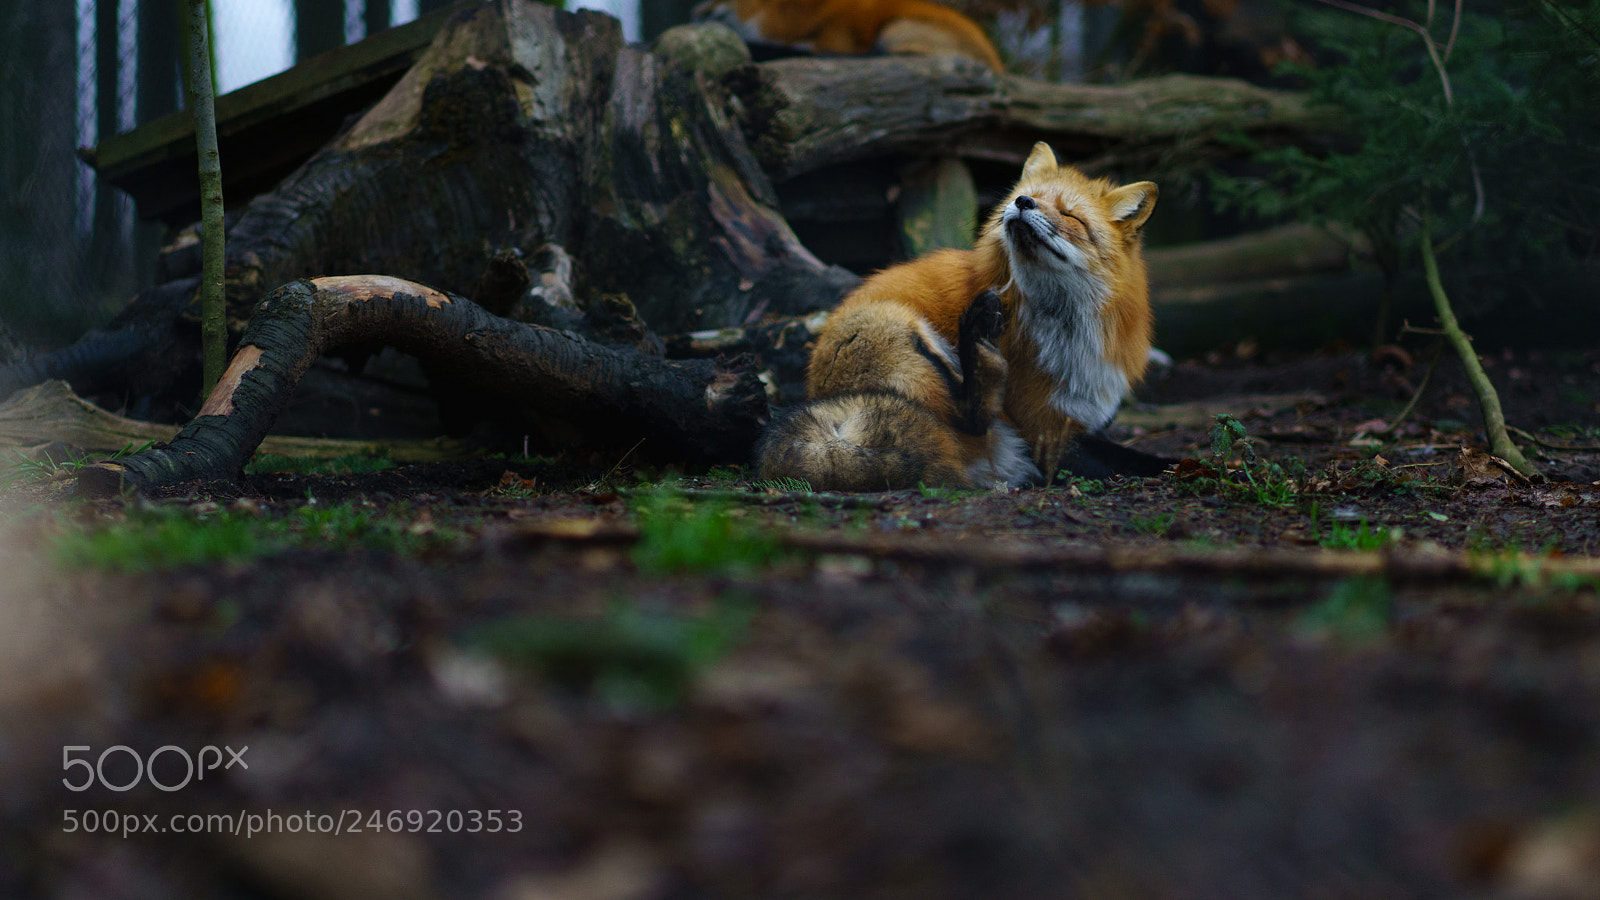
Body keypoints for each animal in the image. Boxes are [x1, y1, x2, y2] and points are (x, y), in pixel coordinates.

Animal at [756, 142, 1164, 490]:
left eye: (1069, 214)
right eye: (1026, 196)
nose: (1022, 200)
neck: (1070, 331)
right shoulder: (1047, 430)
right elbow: (1141, 461)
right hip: (899, 329)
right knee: (969, 418)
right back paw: (980, 346)